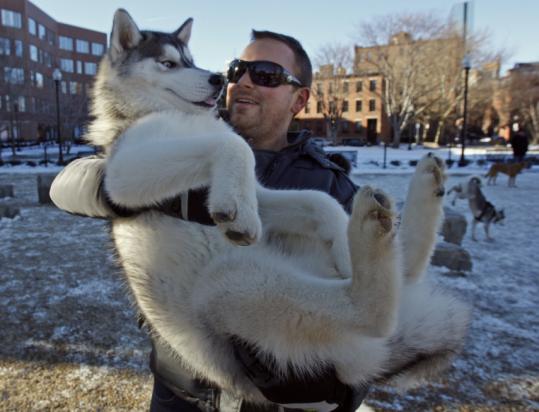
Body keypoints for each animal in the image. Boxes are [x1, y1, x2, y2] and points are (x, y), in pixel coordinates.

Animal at [86, 8, 470, 406]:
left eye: (190, 60)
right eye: (168, 63)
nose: (217, 78)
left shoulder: (257, 193)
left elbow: (319, 201)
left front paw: (342, 244)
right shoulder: (124, 176)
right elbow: (235, 148)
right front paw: (236, 209)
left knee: (402, 273)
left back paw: (417, 190)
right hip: (235, 284)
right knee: (373, 311)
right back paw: (373, 227)